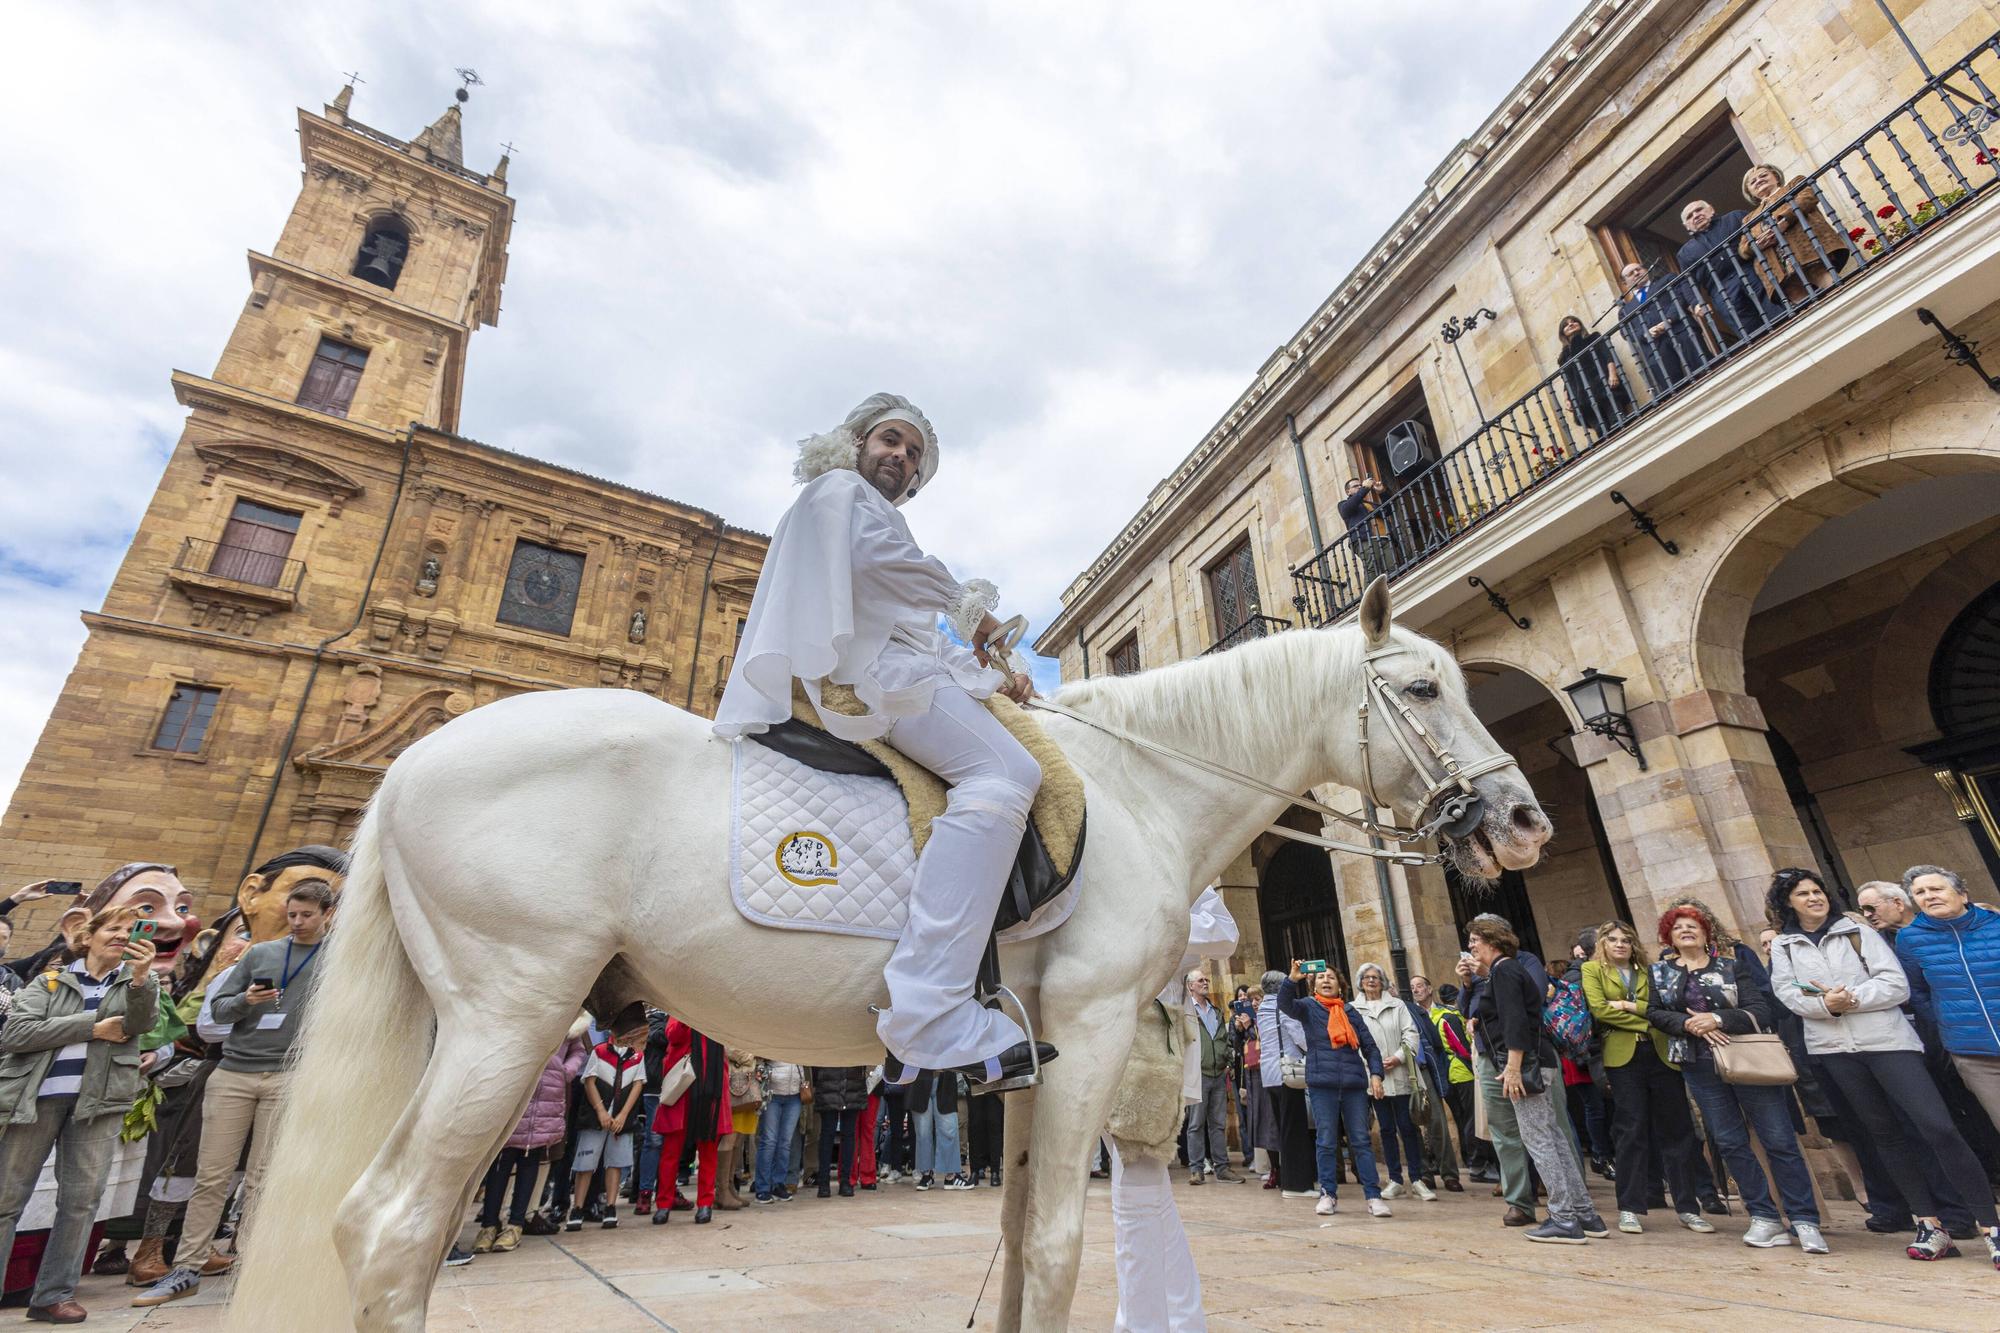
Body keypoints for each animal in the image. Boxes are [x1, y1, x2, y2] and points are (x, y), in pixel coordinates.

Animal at [230, 580, 1544, 1328]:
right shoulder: (1091, 1030)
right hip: (511, 1015)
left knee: (375, 1228)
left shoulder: (1035, 1053)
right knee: (397, 1228)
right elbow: (1057, 1247)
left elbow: (1017, 1246)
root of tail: (413, 760)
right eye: (1420, 687)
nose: (1522, 818)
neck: (1138, 788)